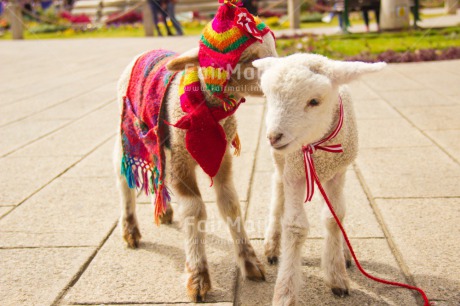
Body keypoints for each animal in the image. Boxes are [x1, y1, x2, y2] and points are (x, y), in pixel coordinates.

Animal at [252, 53, 384, 304]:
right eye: (269, 97)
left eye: (314, 101)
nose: (274, 137)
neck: (317, 147)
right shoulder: (293, 174)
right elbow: (295, 227)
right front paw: (285, 293)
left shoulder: (338, 173)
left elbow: (334, 217)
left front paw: (337, 275)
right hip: (281, 163)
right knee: (278, 191)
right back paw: (272, 244)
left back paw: (344, 251)